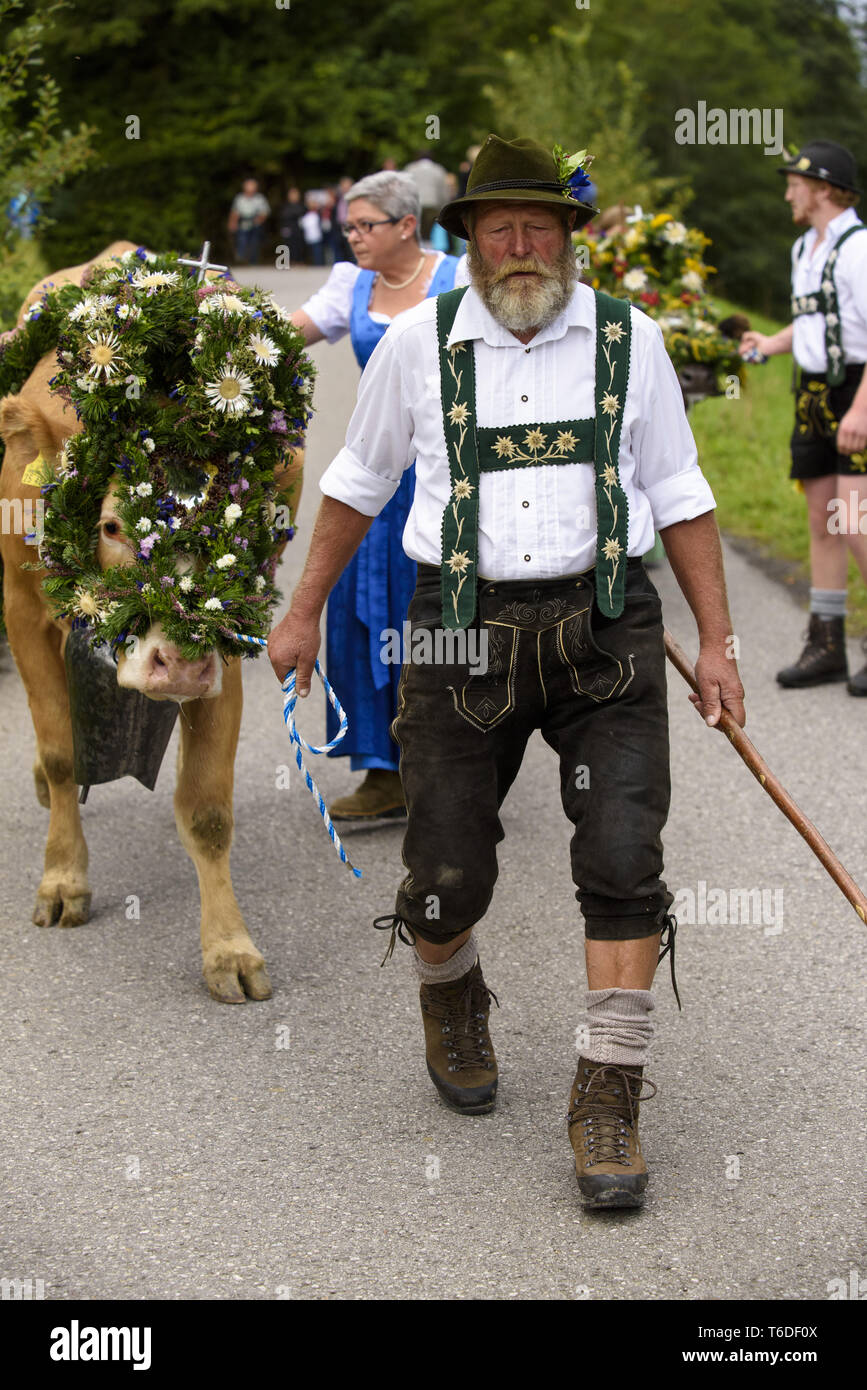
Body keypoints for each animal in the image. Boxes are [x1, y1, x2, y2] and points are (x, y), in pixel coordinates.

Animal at [0, 241, 315, 1000]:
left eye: (241, 526)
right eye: (112, 524)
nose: (180, 663)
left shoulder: (226, 641)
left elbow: (207, 809)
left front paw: (229, 948)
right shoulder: (22, 613)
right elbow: (61, 753)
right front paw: (64, 880)